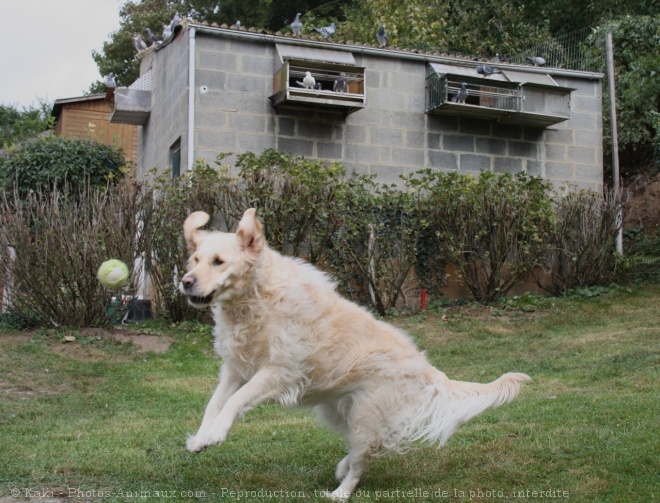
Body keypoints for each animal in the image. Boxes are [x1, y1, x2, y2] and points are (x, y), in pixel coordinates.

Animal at [179, 208, 532, 500]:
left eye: (218, 261)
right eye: (194, 260)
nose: (185, 282)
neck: (254, 299)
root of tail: (428, 368)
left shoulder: (279, 371)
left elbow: (235, 402)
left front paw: (216, 434)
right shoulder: (235, 369)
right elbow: (214, 404)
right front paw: (201, 438)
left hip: (366, 415)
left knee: (367, 455)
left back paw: (340, 492)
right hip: (340, 411)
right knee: (373, 446)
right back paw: (342, 467)